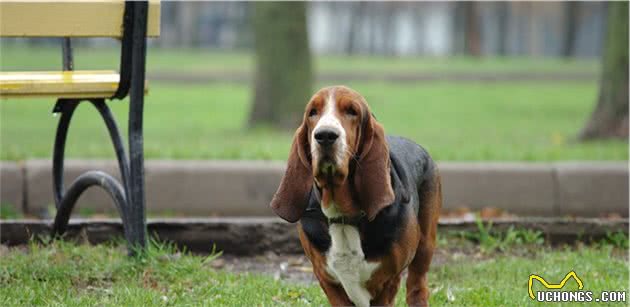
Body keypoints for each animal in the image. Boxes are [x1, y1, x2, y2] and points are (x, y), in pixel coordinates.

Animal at [272, 85, 444, 306]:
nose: (325, 135)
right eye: (312, 112)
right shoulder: (327, 279)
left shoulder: (389, 280)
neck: (344, 216)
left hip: (425, 245)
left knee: (417, 286)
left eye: (352, 111)